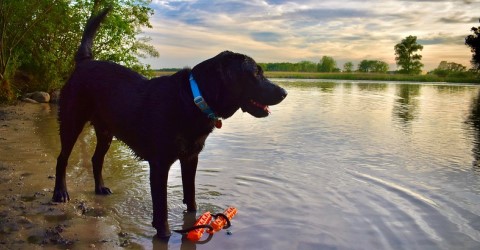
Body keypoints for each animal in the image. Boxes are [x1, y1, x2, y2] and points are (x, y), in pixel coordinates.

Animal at [53, 7, 284, 238]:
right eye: (256, 73)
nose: (284, 92)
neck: (192, 99)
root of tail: (84, 62)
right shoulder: (160, 164)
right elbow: (161, 207)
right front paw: (164, 234)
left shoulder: (190, 158)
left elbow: (191, 196)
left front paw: (194, 220)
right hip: (71, 122)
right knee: (62, 158)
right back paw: (60, 192)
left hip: (106, 132)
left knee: (96, 159)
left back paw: (100, 188)